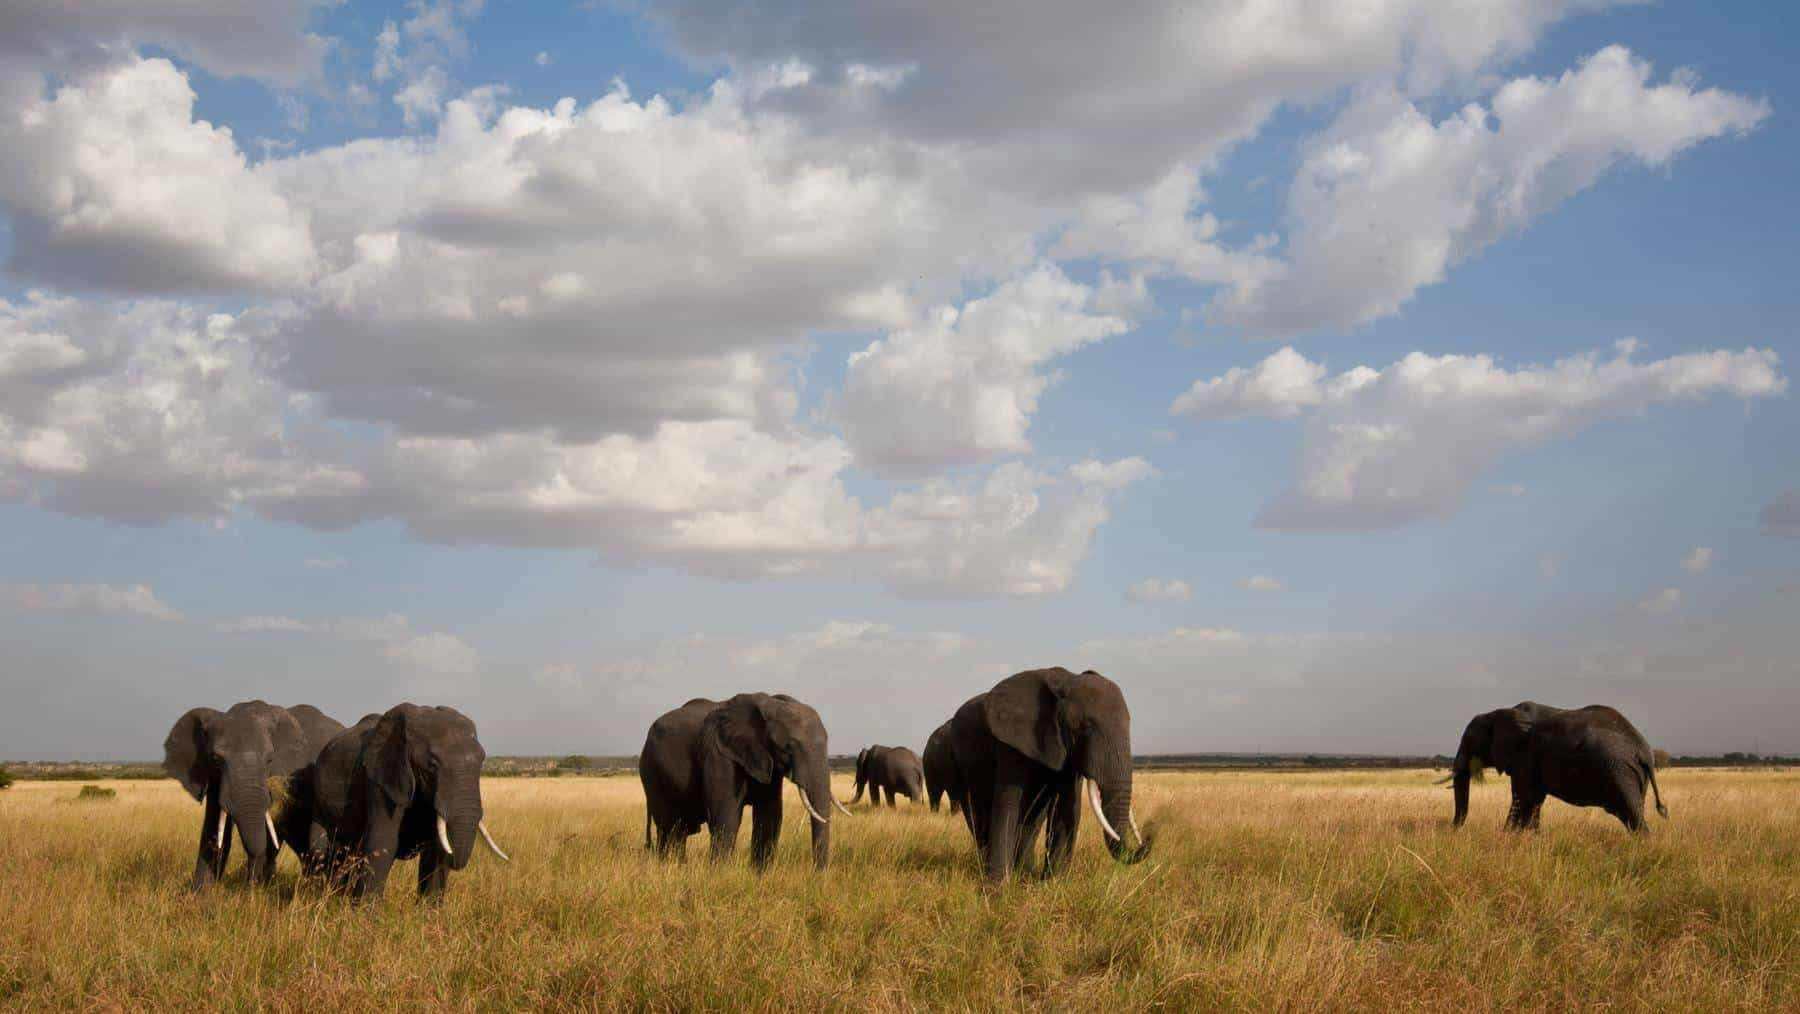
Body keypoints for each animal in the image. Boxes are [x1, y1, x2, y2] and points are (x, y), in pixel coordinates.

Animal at [162, 702, 347, 893]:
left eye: (270, 760)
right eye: (216, 759)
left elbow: (269, 833)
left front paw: (254, 893)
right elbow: (214, 830)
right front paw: (200, 896)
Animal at [309, 702, 507, 900]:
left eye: (482, 763)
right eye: (432, 765)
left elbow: (436, 852)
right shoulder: (381, 778)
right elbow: (383, 842)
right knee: (321, 848)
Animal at [640, 698, 849, 871]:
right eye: (789, 747)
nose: (817, 875)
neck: (769, 704)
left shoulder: (767, 761)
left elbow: (769, 817)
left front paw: (759, 875)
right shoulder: (720, 755)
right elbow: (726, 817)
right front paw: (720, 876)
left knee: (678, 831)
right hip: (652, 772)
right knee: (669, 829)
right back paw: (668, 868)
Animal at [943, 669, 1152, 886]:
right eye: (1084, 726)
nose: (1149, 835)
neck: (1067, 682)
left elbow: (1067, 807)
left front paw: (1052, 884)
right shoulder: (1011, 743)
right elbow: (1007, 803)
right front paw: (996, 887)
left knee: (1031, 822)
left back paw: (1025, 875)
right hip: (959, 764)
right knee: (978, 817)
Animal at [1440, 702, 1663, 835]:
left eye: (1470, 743)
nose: (1452, 830)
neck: (1497, 713)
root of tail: (1644, 752)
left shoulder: (1525, 755)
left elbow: (1522, 797)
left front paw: (1506, 835)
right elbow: (1535, 800)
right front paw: (1532, 836)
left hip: (1619, 771)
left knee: (1632, 814)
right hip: (1631, 775)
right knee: (1633, 812)